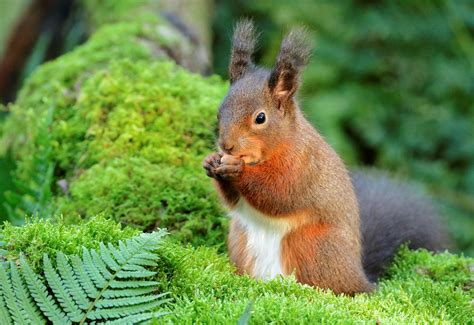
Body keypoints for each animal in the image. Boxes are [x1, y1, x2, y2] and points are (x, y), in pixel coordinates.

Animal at [202, 20, 446, 294]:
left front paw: (238, 170)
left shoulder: (303, 165)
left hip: (313, 246)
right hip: (241, 239)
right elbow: (233, 202)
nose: (226, 146)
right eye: (220, 111)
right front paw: (211, 162)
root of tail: (360, 277)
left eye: (260, 118)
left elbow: (279, 193)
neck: (274, 148)